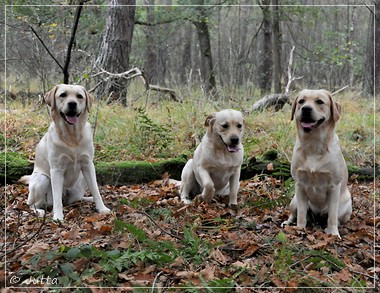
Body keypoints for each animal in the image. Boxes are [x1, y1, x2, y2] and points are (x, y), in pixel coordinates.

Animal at [19, 83, 110, 220]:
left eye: (79, 96)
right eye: (63, 95)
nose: (72, 104)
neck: (72, 137)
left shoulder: (88, 165)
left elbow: (96, 190)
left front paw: (102, 208)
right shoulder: (57, 169)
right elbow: (57, 199)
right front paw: (58, 216)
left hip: (81, 179)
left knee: (77, 198)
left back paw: (88, 199)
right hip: (42, 179)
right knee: (31, 204)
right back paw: (39, 211)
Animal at [280, 89, 352, 237]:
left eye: (319, 101)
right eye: (301, 101)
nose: (306, 109)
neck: (313, 144)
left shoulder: (334, 186)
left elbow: (332, 215)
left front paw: (333, 233)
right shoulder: (300, 184)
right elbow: (301, 214)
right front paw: (300, 229)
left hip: (347, 207)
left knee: (336, 218)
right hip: (294, 201)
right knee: (294, 214)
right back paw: (288, 222)